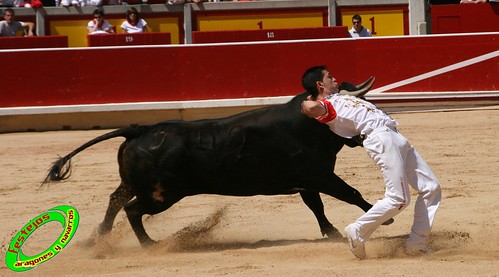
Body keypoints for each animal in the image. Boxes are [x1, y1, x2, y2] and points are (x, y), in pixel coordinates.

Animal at [43, 86, 392, 246]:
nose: (378, 124)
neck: (310, 125)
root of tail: (141, 129)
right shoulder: (319, 175)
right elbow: (349, 193)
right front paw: (384, 218)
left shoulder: (307, 181)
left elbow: (315, 206)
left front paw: (330, 232)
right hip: (162, 195)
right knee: (131, 209)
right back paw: (149, 244)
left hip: (136, 184)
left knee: (116, 200)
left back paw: (98, 239)